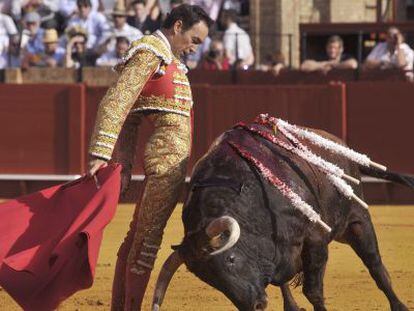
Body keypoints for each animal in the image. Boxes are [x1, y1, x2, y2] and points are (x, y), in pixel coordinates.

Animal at [150, 120, 410, 311]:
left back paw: (399, 306)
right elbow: (283, 279)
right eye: (208, 279)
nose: (255, 305)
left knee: (375, 265)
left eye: (231, 259)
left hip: (356, 220)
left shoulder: (315, 238)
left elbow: (313, 291)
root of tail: (339, 145)